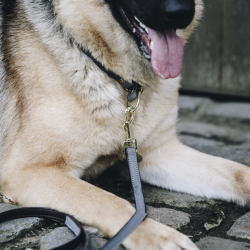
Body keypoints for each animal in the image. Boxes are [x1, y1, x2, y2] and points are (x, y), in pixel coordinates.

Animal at [0, 0, 250, 249]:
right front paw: (159, 236)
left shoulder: (160, 152)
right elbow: (108, 200)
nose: (181, 14)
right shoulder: (30, 172)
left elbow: (239, 174)